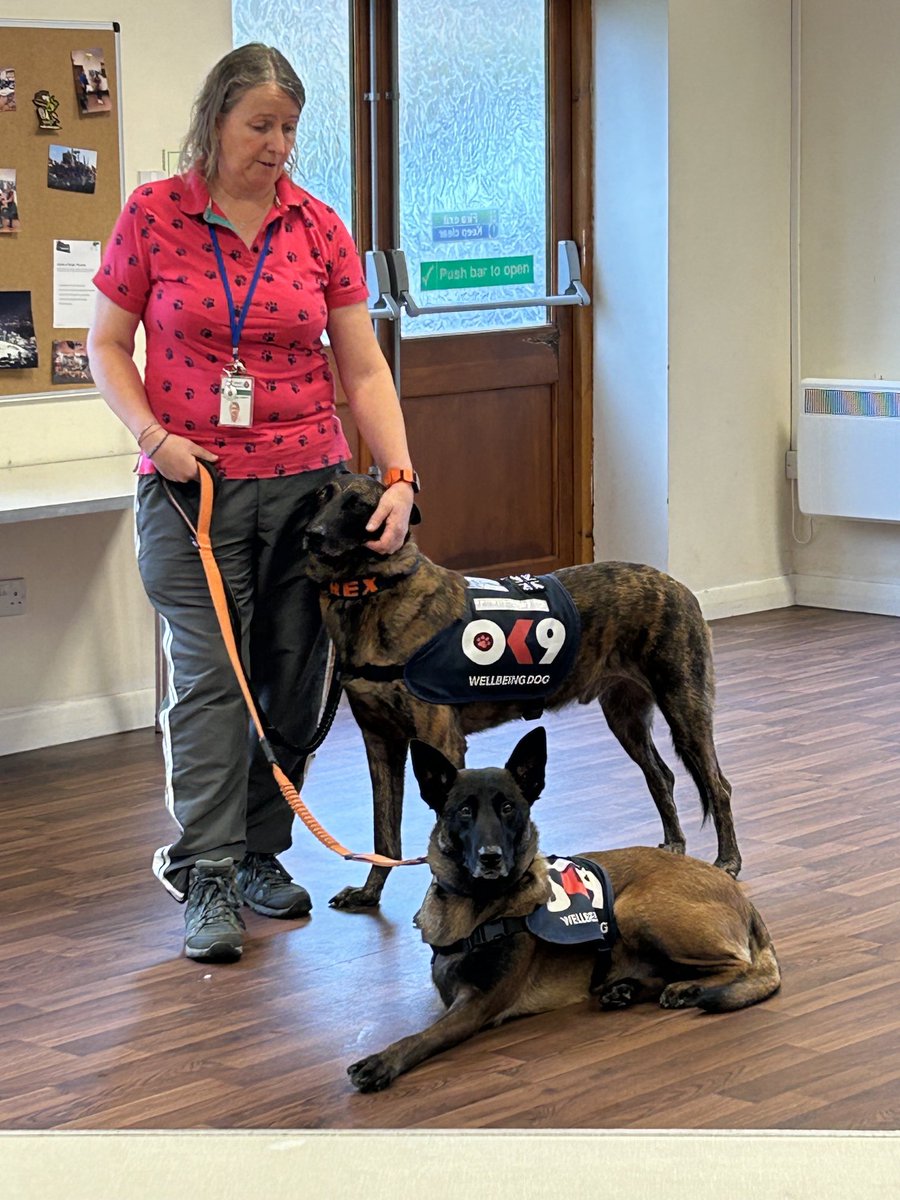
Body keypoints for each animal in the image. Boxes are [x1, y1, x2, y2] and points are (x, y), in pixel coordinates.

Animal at [301, 472, 739, 902]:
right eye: (322, 496)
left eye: (358, 505)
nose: (311, 534)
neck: (373, 591)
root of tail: (677, 585)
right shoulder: (380, 742)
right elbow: (385, 834)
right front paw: (369, 891)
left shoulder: (441, 740)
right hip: (625, 717)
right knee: (662, 776)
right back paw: (675, 846)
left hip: (684, 707)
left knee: (719, 786)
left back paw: (728, 861)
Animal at [348, 724, 782, 1094]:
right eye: (465, 811)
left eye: (509, 808)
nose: (491, 858)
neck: (476, 906)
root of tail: (742, 898)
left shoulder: (477, 1005)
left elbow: (422, 1036)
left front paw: (382, 1062)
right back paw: (629, 989)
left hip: (634, 908)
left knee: (739, 966)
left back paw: (687, 989)